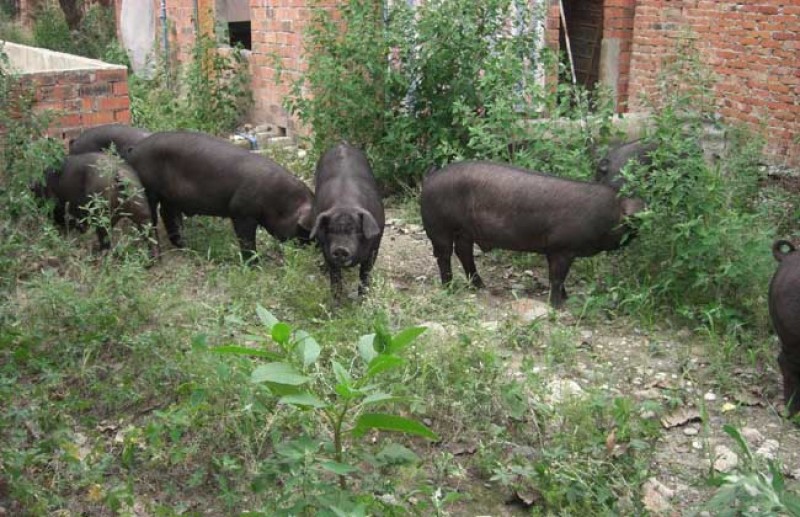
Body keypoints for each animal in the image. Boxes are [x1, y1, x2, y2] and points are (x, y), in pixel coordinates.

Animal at [126, 131, 314, 260]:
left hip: (171, 197)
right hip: (148, 189)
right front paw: (254, 263)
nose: (312, 248)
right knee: (149, 220)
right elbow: (246, 240)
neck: (279, 202)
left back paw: (186, 245)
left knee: (167, 214)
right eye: (304, 229)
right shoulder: (241, 211)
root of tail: (135, 149)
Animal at [310, 143, 384, 300]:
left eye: (356, 230)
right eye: (331, 229)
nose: (340, 249)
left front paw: (362, 302)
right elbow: (335, 279)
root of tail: (341, 145)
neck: (346, 204)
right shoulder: (326, 250)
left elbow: (365, 275)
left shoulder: (375, 247)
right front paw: (336, 305)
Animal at [418, 161, 644, 306]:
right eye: (632, 221)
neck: (608, 213)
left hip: (465, 231)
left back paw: (480, 286)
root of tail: (429, 178)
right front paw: (557, 306)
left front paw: (566, 298)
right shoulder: (562, 248)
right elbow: (557, 277)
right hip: (438, 226)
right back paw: (449, 287)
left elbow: (558, 277)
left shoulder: (552, 250)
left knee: (463, 252)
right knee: (444, 254)